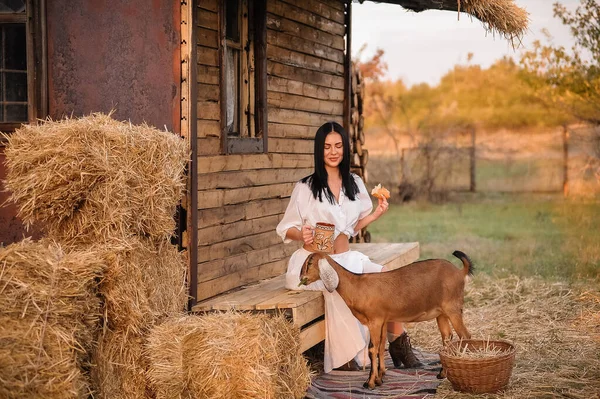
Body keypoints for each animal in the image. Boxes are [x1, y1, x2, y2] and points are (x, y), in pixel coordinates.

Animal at [300, 252, 474, 390]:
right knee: (447, 338)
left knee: (465, 336)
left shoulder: (374, 321)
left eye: (310, 262)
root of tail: (460, 272)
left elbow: (372, 349)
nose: (302, 279)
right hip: (441, 313)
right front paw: (380, 377)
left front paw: (369, 382)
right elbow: (381, 346)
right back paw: (442, 374)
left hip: (453, 309)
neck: (357, 285)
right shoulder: (383, 320)